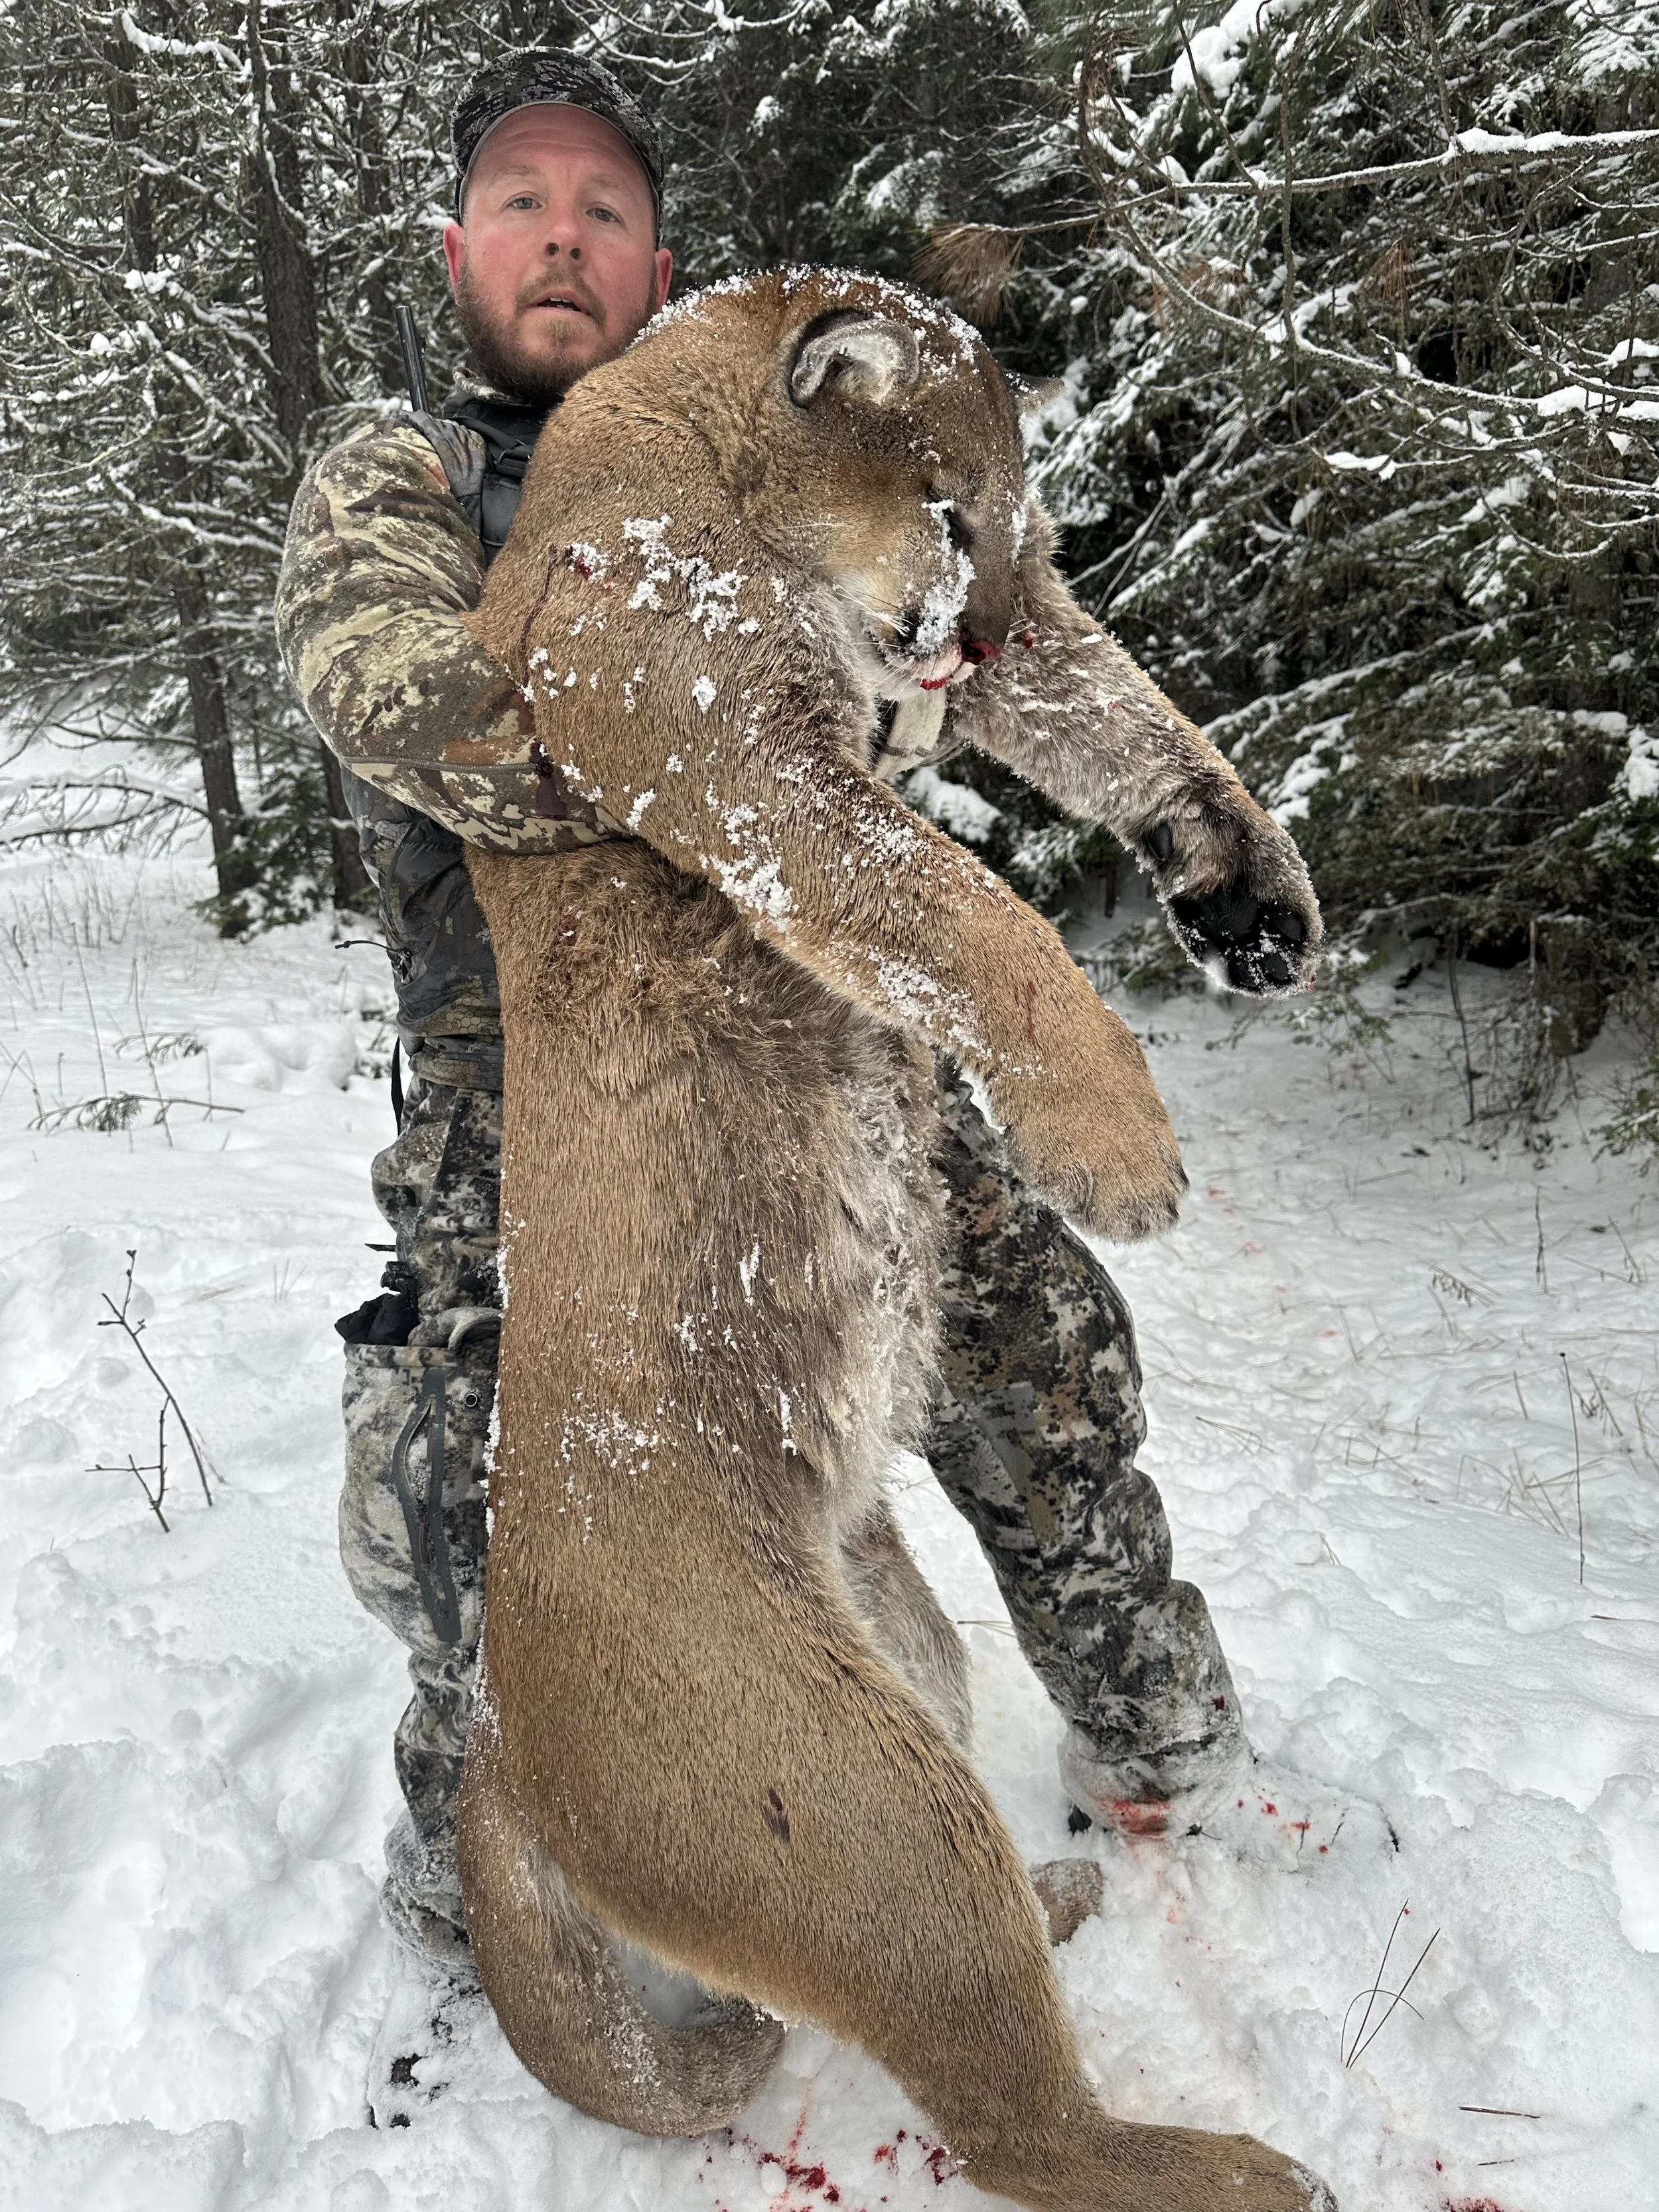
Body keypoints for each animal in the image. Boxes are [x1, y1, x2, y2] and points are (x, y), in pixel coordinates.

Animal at [451, 268, 1334, 2212]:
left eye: (1019, 520)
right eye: (943, 500)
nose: (975, 629)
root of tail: (500, 1743)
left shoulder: (969, 685)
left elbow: (1128, 714)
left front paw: (1243, 892)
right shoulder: (753, 761)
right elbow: (966, 910)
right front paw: (1118, 1145)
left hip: (909, 1668)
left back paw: (1066, 1892)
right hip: (854, 1805)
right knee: (1018, 2125)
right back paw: (1241, 2164)